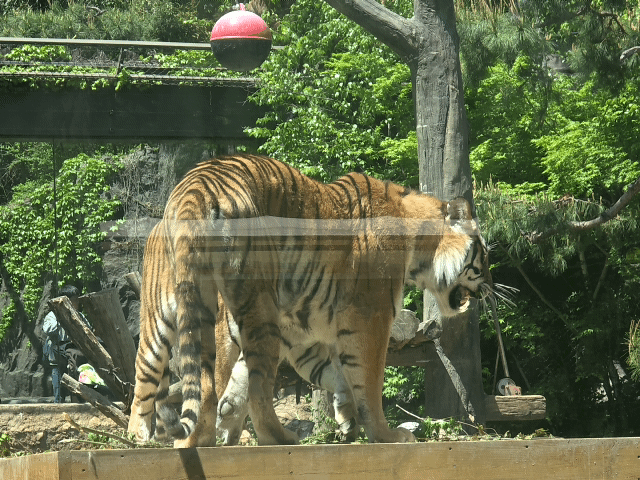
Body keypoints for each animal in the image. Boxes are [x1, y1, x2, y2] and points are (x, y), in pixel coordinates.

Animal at [127, 153, 492, 447]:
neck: (419, 243)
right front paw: (386, 435)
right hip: (226, 309)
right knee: (236, 386)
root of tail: (196, 184)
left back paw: (198, 440)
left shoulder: (301, 334)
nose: (489, 287)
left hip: (205, 305)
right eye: (484, 254)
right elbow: (370, 382)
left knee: (204, 382)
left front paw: (347, 417)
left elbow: (333, 373)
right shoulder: (370, 317)